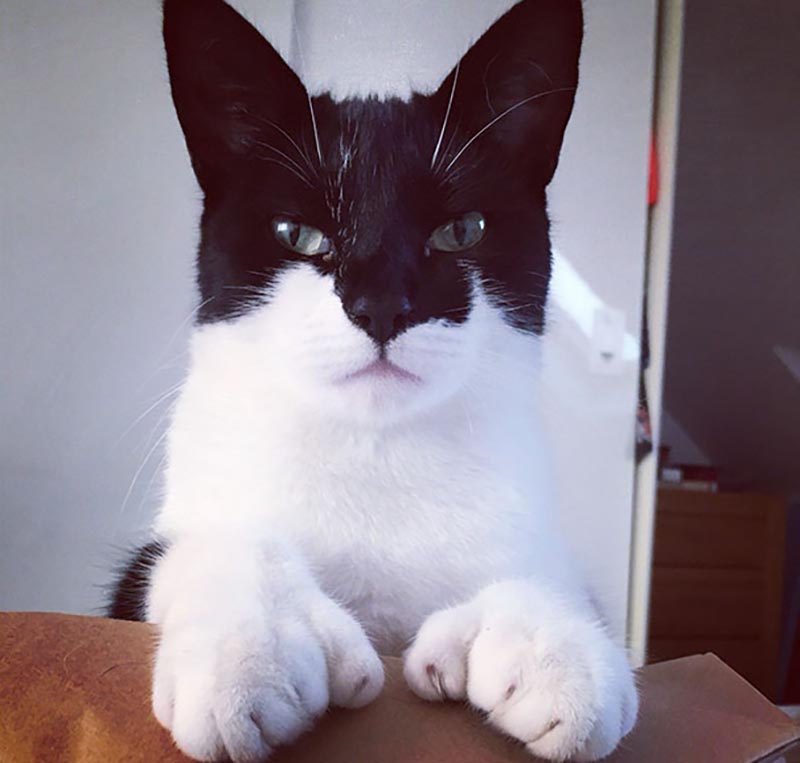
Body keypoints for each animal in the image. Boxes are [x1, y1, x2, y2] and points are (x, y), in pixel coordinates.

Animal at [111, 0, 636, 760]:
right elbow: (218, 543)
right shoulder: (141, 571)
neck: (378, 452)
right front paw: (252, 649)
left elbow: (550, 575)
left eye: (462, 229)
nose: (382, 304)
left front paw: (557, 644)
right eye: (296, 233)